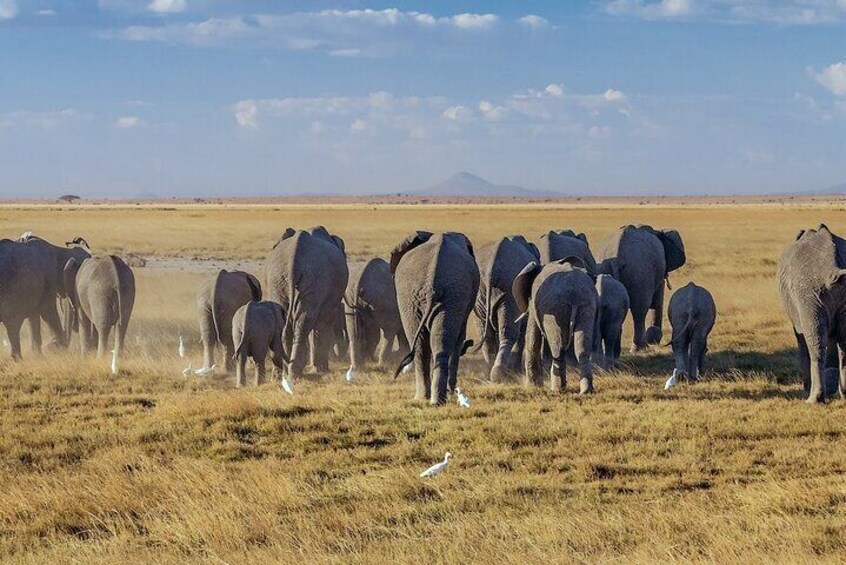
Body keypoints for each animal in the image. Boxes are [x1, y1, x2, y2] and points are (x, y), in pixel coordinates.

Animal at [265, 226, 348, 381]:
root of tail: (293, 261)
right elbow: (324, 320)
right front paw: (321, 369)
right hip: (314, 278)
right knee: (305, 320)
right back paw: (294, 372)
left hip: (277, 280)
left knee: (287, 320)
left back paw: (280, 374)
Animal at [391, 231, 480, 405]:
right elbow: (459, 339)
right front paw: (452, 392)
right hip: (448, 295)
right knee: (437, 342)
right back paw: (435, 399)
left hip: (421, 296)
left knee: (424, 344)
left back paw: (428, 399)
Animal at [473, 235, 540, 381]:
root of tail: (491, 269)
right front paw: (516, 371)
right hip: (509, 290)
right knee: (509, 332)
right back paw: (498, 374)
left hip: (482, 292)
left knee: (486, 333)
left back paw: (489, 374)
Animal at [513, 257, 599, 394]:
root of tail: (574, 294)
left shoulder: (533, 303)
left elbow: (532, 336)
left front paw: (533, 386)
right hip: (587, 304)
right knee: (582, 347)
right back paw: (586, 391)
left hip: (556, 306)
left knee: (557, 348)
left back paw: (557, 389)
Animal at [777, 224, 846, 402]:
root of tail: (833, 266)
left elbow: (801, 337)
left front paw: (805, 391)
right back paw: (844, 396)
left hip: (808, 293)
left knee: (814, 341)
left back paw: (813, 399)